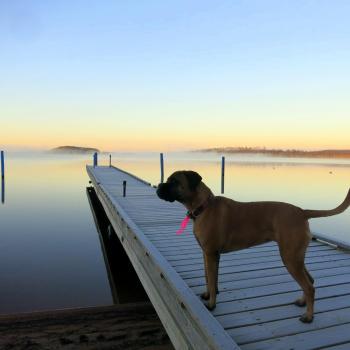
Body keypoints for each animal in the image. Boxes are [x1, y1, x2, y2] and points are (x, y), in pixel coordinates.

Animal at [157, 170, 350, 322]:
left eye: (175, 182)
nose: (159, 186)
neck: (203, 206)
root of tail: (302, 212)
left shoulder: (211, 254)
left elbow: (211, 280)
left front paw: (211, 304)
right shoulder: (207, 254)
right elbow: (209, 278)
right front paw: (208, 295)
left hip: (290, 258)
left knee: (309, 286)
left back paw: (309, 317)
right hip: (296, 257)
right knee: (310, 281)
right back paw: (303, 303)